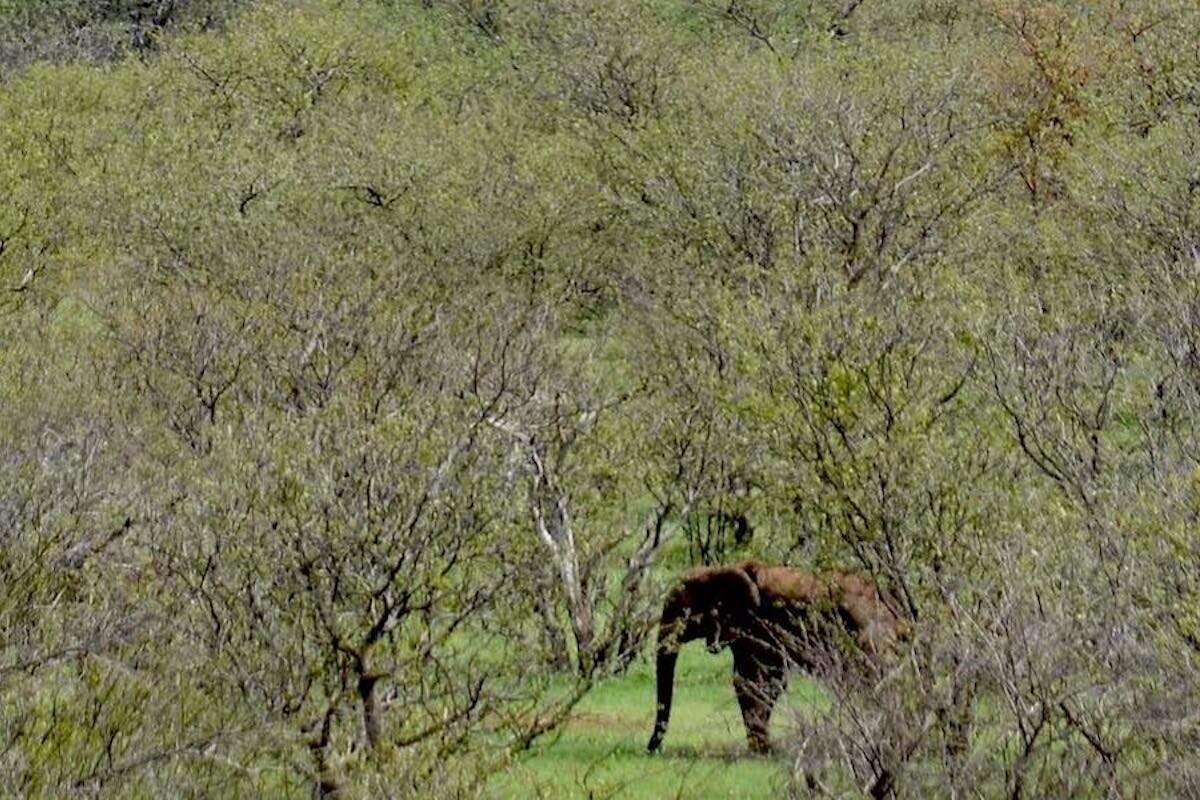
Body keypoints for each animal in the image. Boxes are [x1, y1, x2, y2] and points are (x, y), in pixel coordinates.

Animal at [646, 560, 909, 755]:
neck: (721, 571)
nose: (651, 750)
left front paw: (761, 751)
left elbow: (753, 681)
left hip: (867, 637)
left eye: (685, 613)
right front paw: (762, 749)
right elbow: (764, 681)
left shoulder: (758, 626)